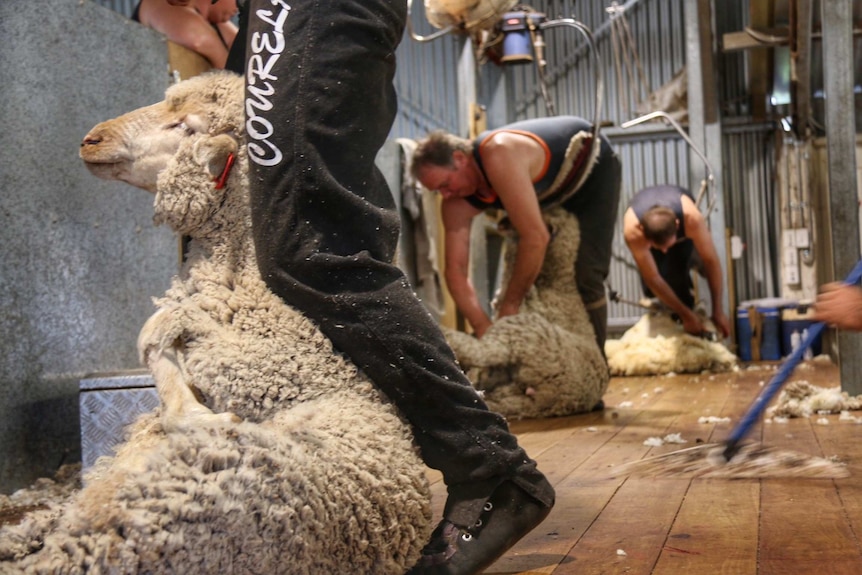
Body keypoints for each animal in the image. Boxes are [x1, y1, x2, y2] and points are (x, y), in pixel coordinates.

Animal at [0, 72, 432, 575]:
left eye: (186, 127)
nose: (92, 140)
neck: (245, 280)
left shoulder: (267, 364)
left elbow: (157, 330)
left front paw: (193, 410)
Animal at [442, 207, 612, 418]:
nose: (503, 219)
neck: (556, 280)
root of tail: (558, 396)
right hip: (513, 395)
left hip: (523, 331)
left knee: (483, 350)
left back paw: (450, 337)